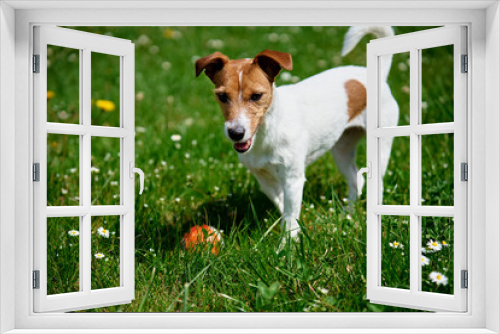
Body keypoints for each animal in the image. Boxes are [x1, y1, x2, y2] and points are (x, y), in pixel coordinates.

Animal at [195, 27, 398, 239]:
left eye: (257, 96)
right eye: (222, 96)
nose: (236, 133)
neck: (266, 134)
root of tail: (378, 75)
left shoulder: (293, 179)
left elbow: (290, 217)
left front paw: (287, 244)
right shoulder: (265, 180)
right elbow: (284, 208)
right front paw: (296, 230)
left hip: (380, 147)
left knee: (377, 183)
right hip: (342, 150)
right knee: (356, 180)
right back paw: (348, 213)